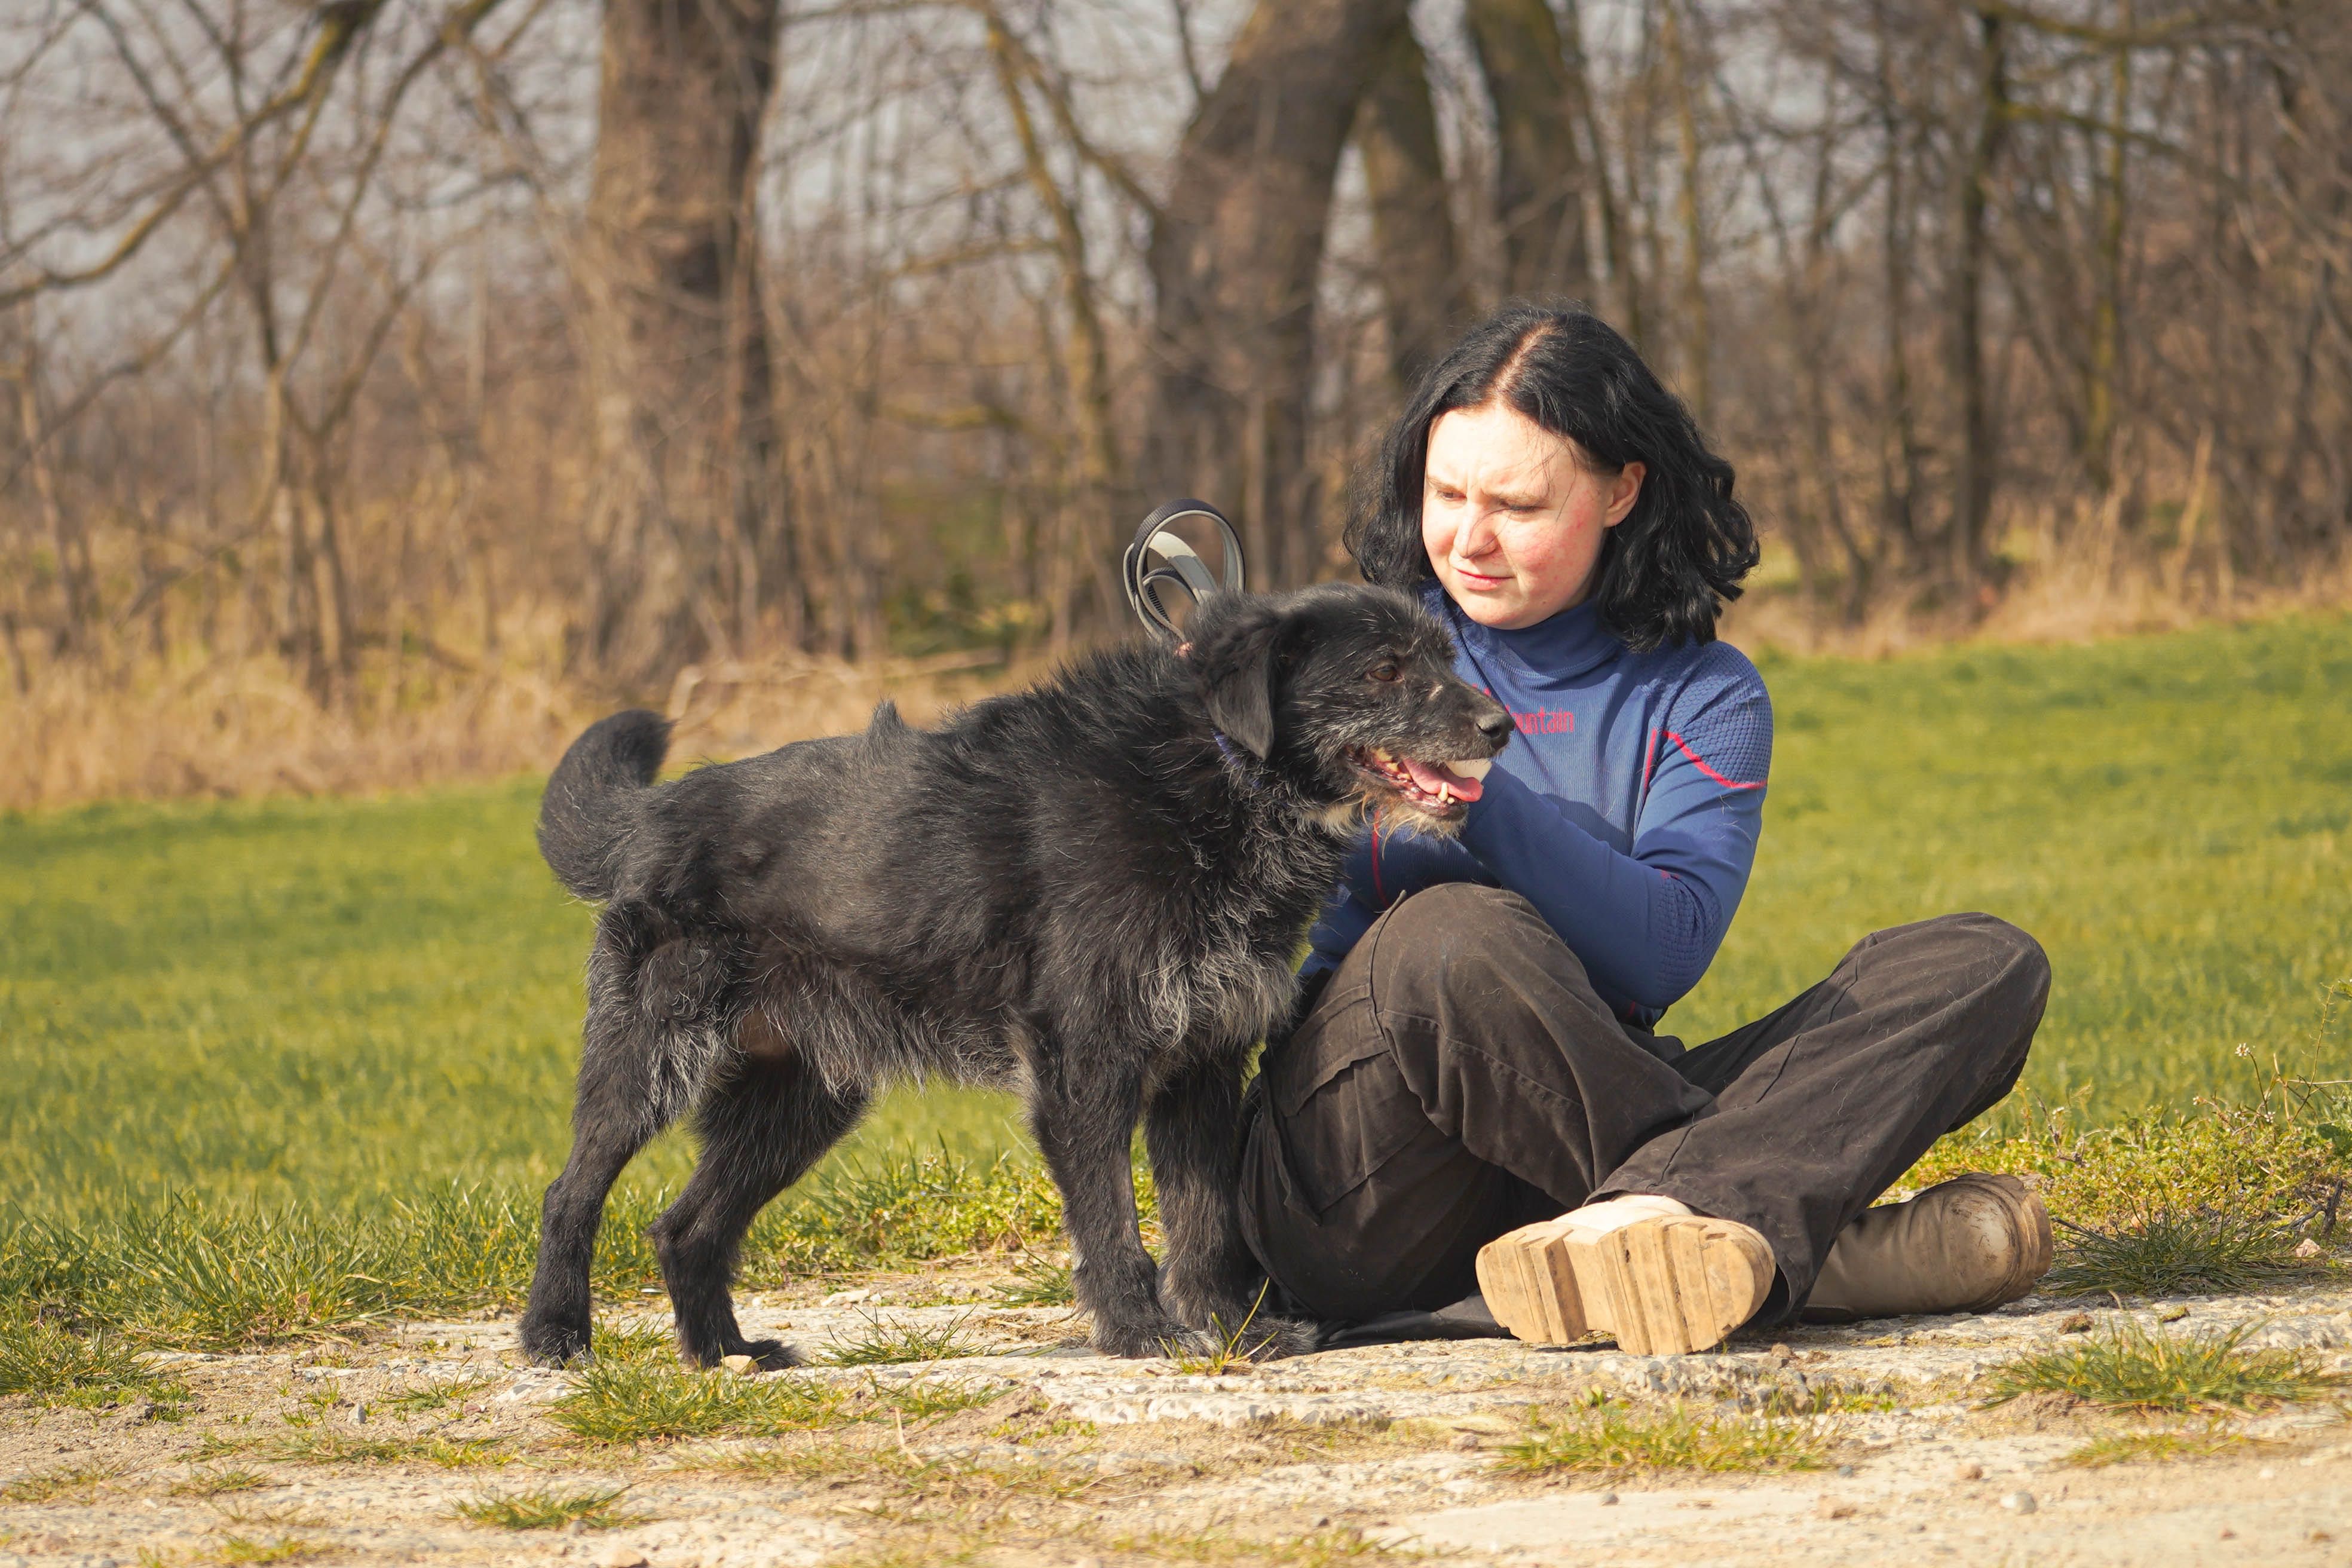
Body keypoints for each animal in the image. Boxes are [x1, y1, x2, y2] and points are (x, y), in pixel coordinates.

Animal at [514, 583, 1505, 1363]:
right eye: (1384, 670)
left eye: (1442, 657)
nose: (1500, 726)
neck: (1215, 778)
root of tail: (654, 813)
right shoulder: (1086, 1064)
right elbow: (1113, 1218)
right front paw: (1140, 1331)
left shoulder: (1202, 1064)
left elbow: (1206, 1222)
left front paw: (1233, 1331)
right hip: (648, 1064)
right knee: (571, 1193)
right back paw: (557, 1333)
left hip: (797, 1105)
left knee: (686, 1228)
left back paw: (725, 1352)